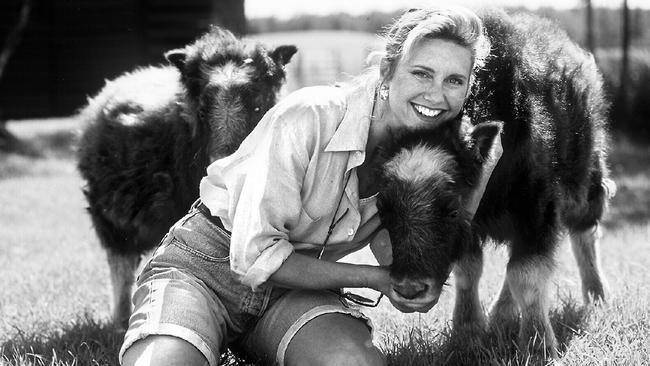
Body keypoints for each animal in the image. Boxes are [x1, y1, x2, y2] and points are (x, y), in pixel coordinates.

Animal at [374, 10, 612, 358]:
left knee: (586, 232)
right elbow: (469, 270)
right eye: (384, 208)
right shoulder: (473, 227)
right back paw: (501, 316)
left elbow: (526, 274)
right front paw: (468, 333)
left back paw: (597, 299)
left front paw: (538, 346)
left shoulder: (537, 209)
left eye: (451, 209)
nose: (409, 289)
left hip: (585, 178)